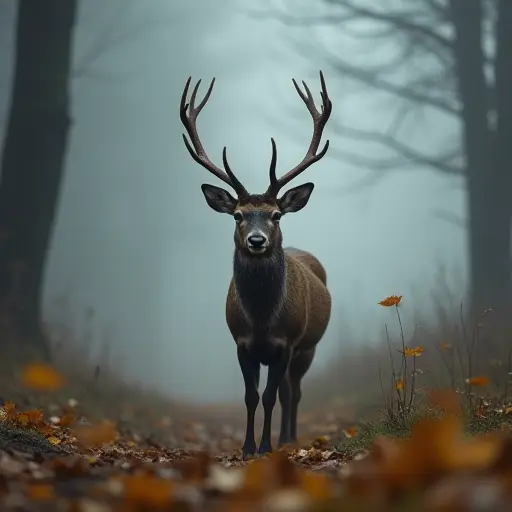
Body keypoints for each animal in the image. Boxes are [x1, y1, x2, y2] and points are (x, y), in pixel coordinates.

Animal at [179, 70, 332, 458]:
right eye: (237, 215)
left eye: (276, 214)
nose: (257, 240)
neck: (262, 319)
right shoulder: (241, 342)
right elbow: (249, 397)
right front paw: (248, 447)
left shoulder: (286, 342)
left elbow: (270, 397)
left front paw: (265, 447)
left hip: (308, 348)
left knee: (294, 392)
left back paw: (288, 439)